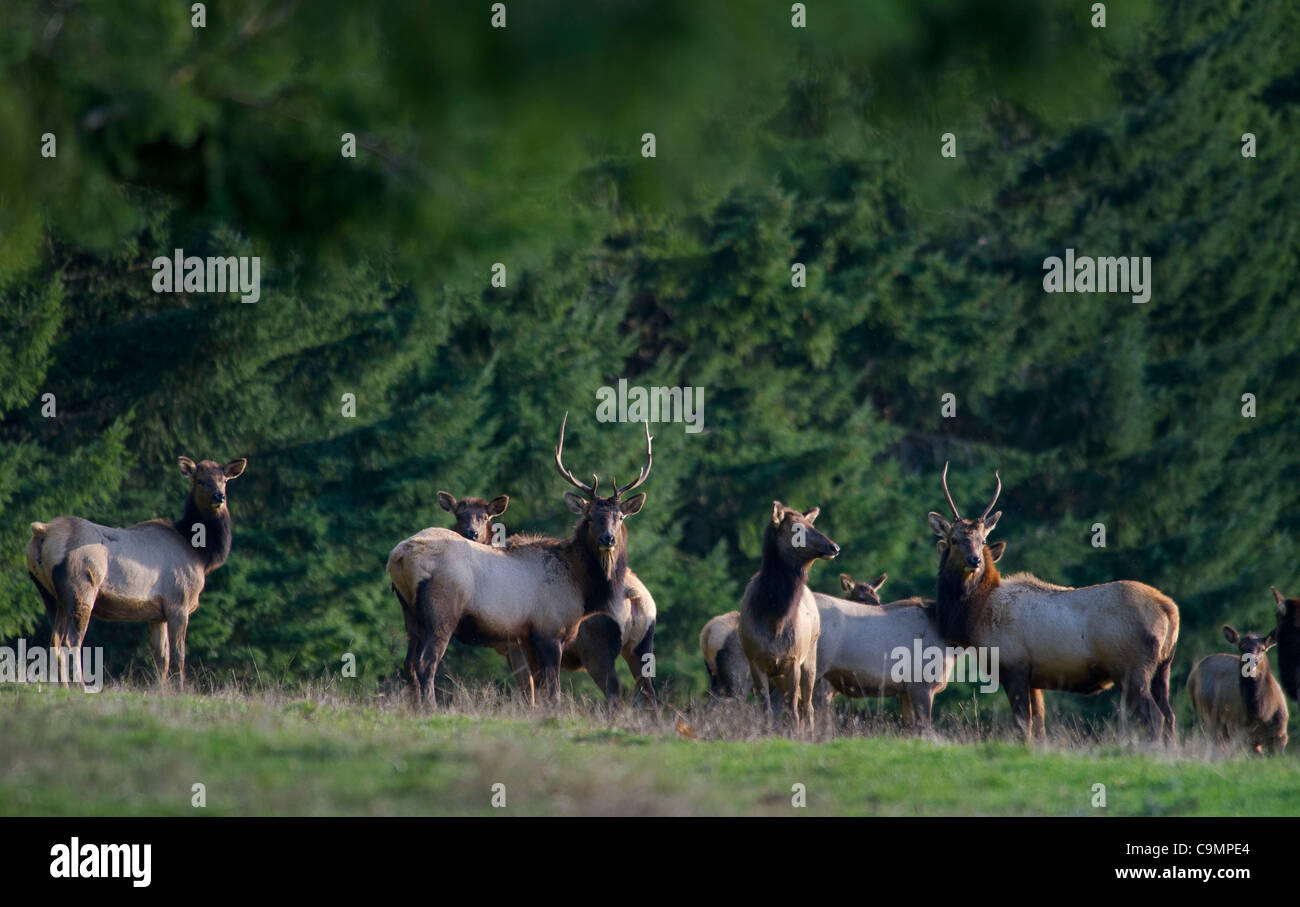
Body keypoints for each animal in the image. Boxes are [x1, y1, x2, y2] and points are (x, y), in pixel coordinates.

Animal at [23, 454, 245, 691]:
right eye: (200, 480)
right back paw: (81, 686)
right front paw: (180, 689)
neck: (202, 555)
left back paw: (62, 686)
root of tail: (42, 531)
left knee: (55, 640)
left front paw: (161, 690)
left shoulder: (157, 614)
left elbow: (161, 658)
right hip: (81, 588)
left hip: (50, 594)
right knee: (71, 640)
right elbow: (179, 655)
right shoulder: (178, 603)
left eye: (224, 480)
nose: (219, 496)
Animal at [382, 415, 650, 706]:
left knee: (409, 664)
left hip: (410, 613)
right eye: (589, 517)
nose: (607, 539)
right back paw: (431, 707)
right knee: (425, 663)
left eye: (619, 517)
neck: (581, 587)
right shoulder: (549, 630)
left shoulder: (527, 637)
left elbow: (539, 689)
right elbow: (551, 690)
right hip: (442, 612)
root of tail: (399, 556)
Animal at [738, 498, 837, 732]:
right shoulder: (755, 660)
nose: (834, 547)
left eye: (812, 524)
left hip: (810, 657)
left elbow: (793, 709)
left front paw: (796, 734)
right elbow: (766, 709)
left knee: (807, 705)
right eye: (797, 528)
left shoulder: (792, 659)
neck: (774, 620)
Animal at [925, 462, 1180, 743]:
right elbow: (1039, 727)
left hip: (1131, 669)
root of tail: (1170, 610)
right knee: (1170, 715)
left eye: (983, 541)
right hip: (1162, 669)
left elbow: (1023, 725)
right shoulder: (1034, 678)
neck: (974, 617)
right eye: (954, 539)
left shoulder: (1014, 666)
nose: (975, 560)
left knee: (1155, 717)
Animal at [1190, 618, 1289, 753]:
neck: (1262, 713)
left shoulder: (1281, 734)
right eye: (1241, 648)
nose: (1250, 662)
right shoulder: (1241, 734)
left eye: (1262, 649)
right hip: (1208, 716)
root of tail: (1192, 675)